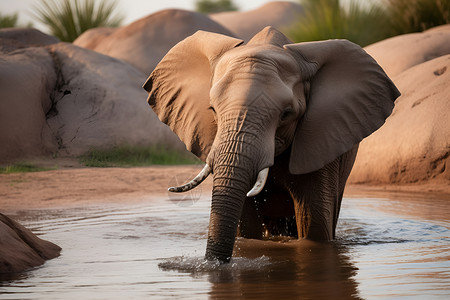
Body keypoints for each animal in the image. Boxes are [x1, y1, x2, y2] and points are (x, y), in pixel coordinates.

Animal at [144, 27, 400, 264]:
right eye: (212, 110)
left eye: (286, 114)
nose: (214, 265)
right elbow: (247, 222)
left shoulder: (321, 139)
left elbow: (314, 221)